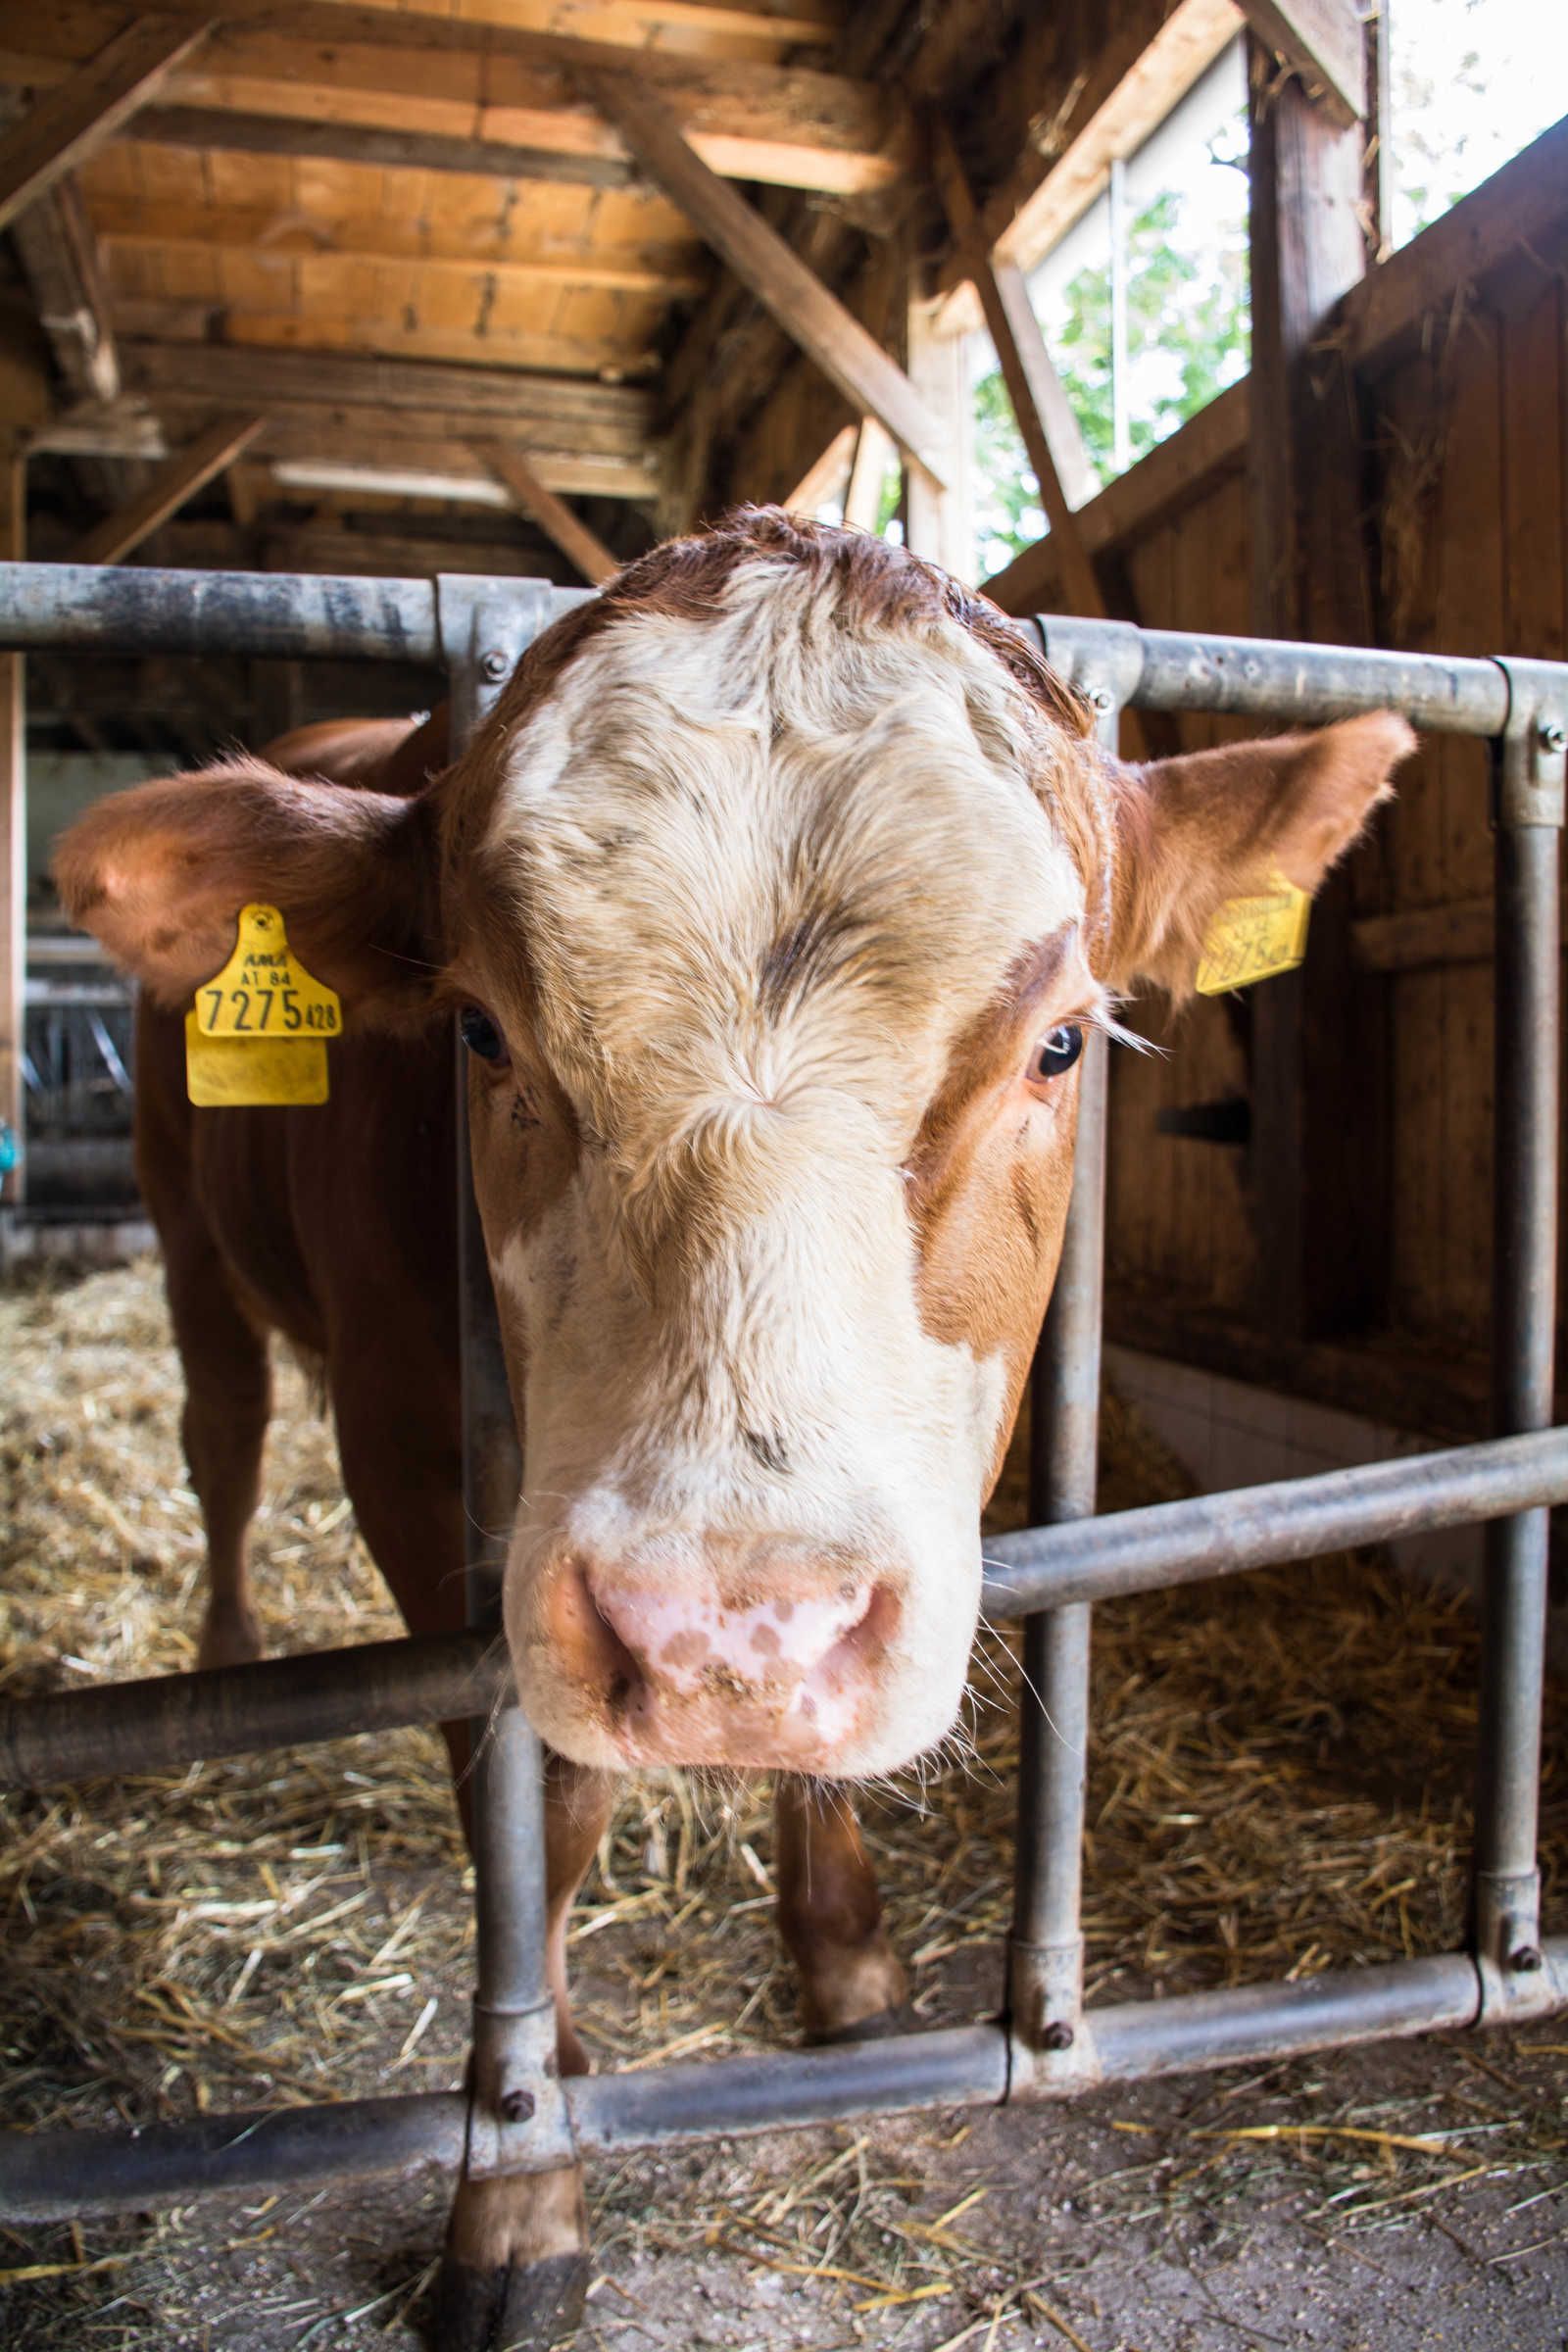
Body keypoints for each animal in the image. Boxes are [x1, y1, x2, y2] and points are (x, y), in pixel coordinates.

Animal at [55, 508, 1414, 2342]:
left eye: (1062, 1042)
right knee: (223, 1436)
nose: (720, 1629)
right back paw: (225, 1649)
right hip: (186, 1228)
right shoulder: (416, 1463)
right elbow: (538, 1821)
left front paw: (842, 1953)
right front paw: (525, 2177)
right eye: (481, 1029)